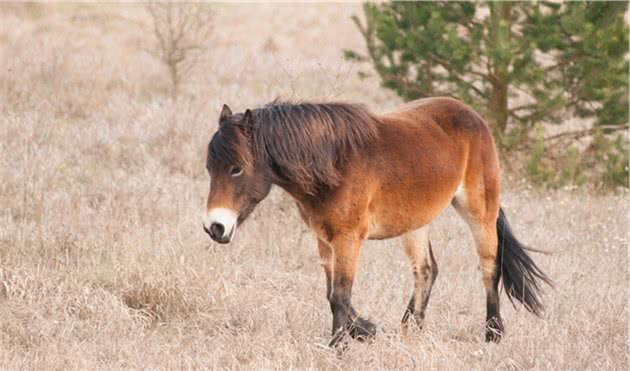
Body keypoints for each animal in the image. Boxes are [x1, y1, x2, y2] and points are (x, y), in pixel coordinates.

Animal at [202, 97, 552, 348]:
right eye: (209, 167)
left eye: (236, 168)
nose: (214, 227)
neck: (332, 164)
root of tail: (472, 115)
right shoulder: (324, 240)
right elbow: (332, 293)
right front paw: (364, 330)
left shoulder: (348, 240)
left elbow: (339, 295)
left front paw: (339, 345)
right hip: (416, 222)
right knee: (426, 270)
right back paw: (411, 331)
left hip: (479, 213)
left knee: (489, 267)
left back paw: (493, 334)